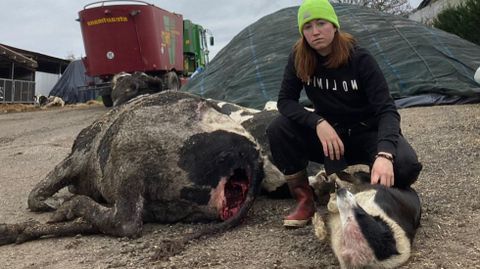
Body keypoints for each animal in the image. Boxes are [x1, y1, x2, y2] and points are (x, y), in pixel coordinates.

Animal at [0, 89, 262, 245]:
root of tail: (249, 156)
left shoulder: (79, 156)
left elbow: (37, 192)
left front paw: (54, 203)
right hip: (170, 206)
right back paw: (17, 230)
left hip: (128, 153)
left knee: (125, 222)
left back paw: (67, 207)